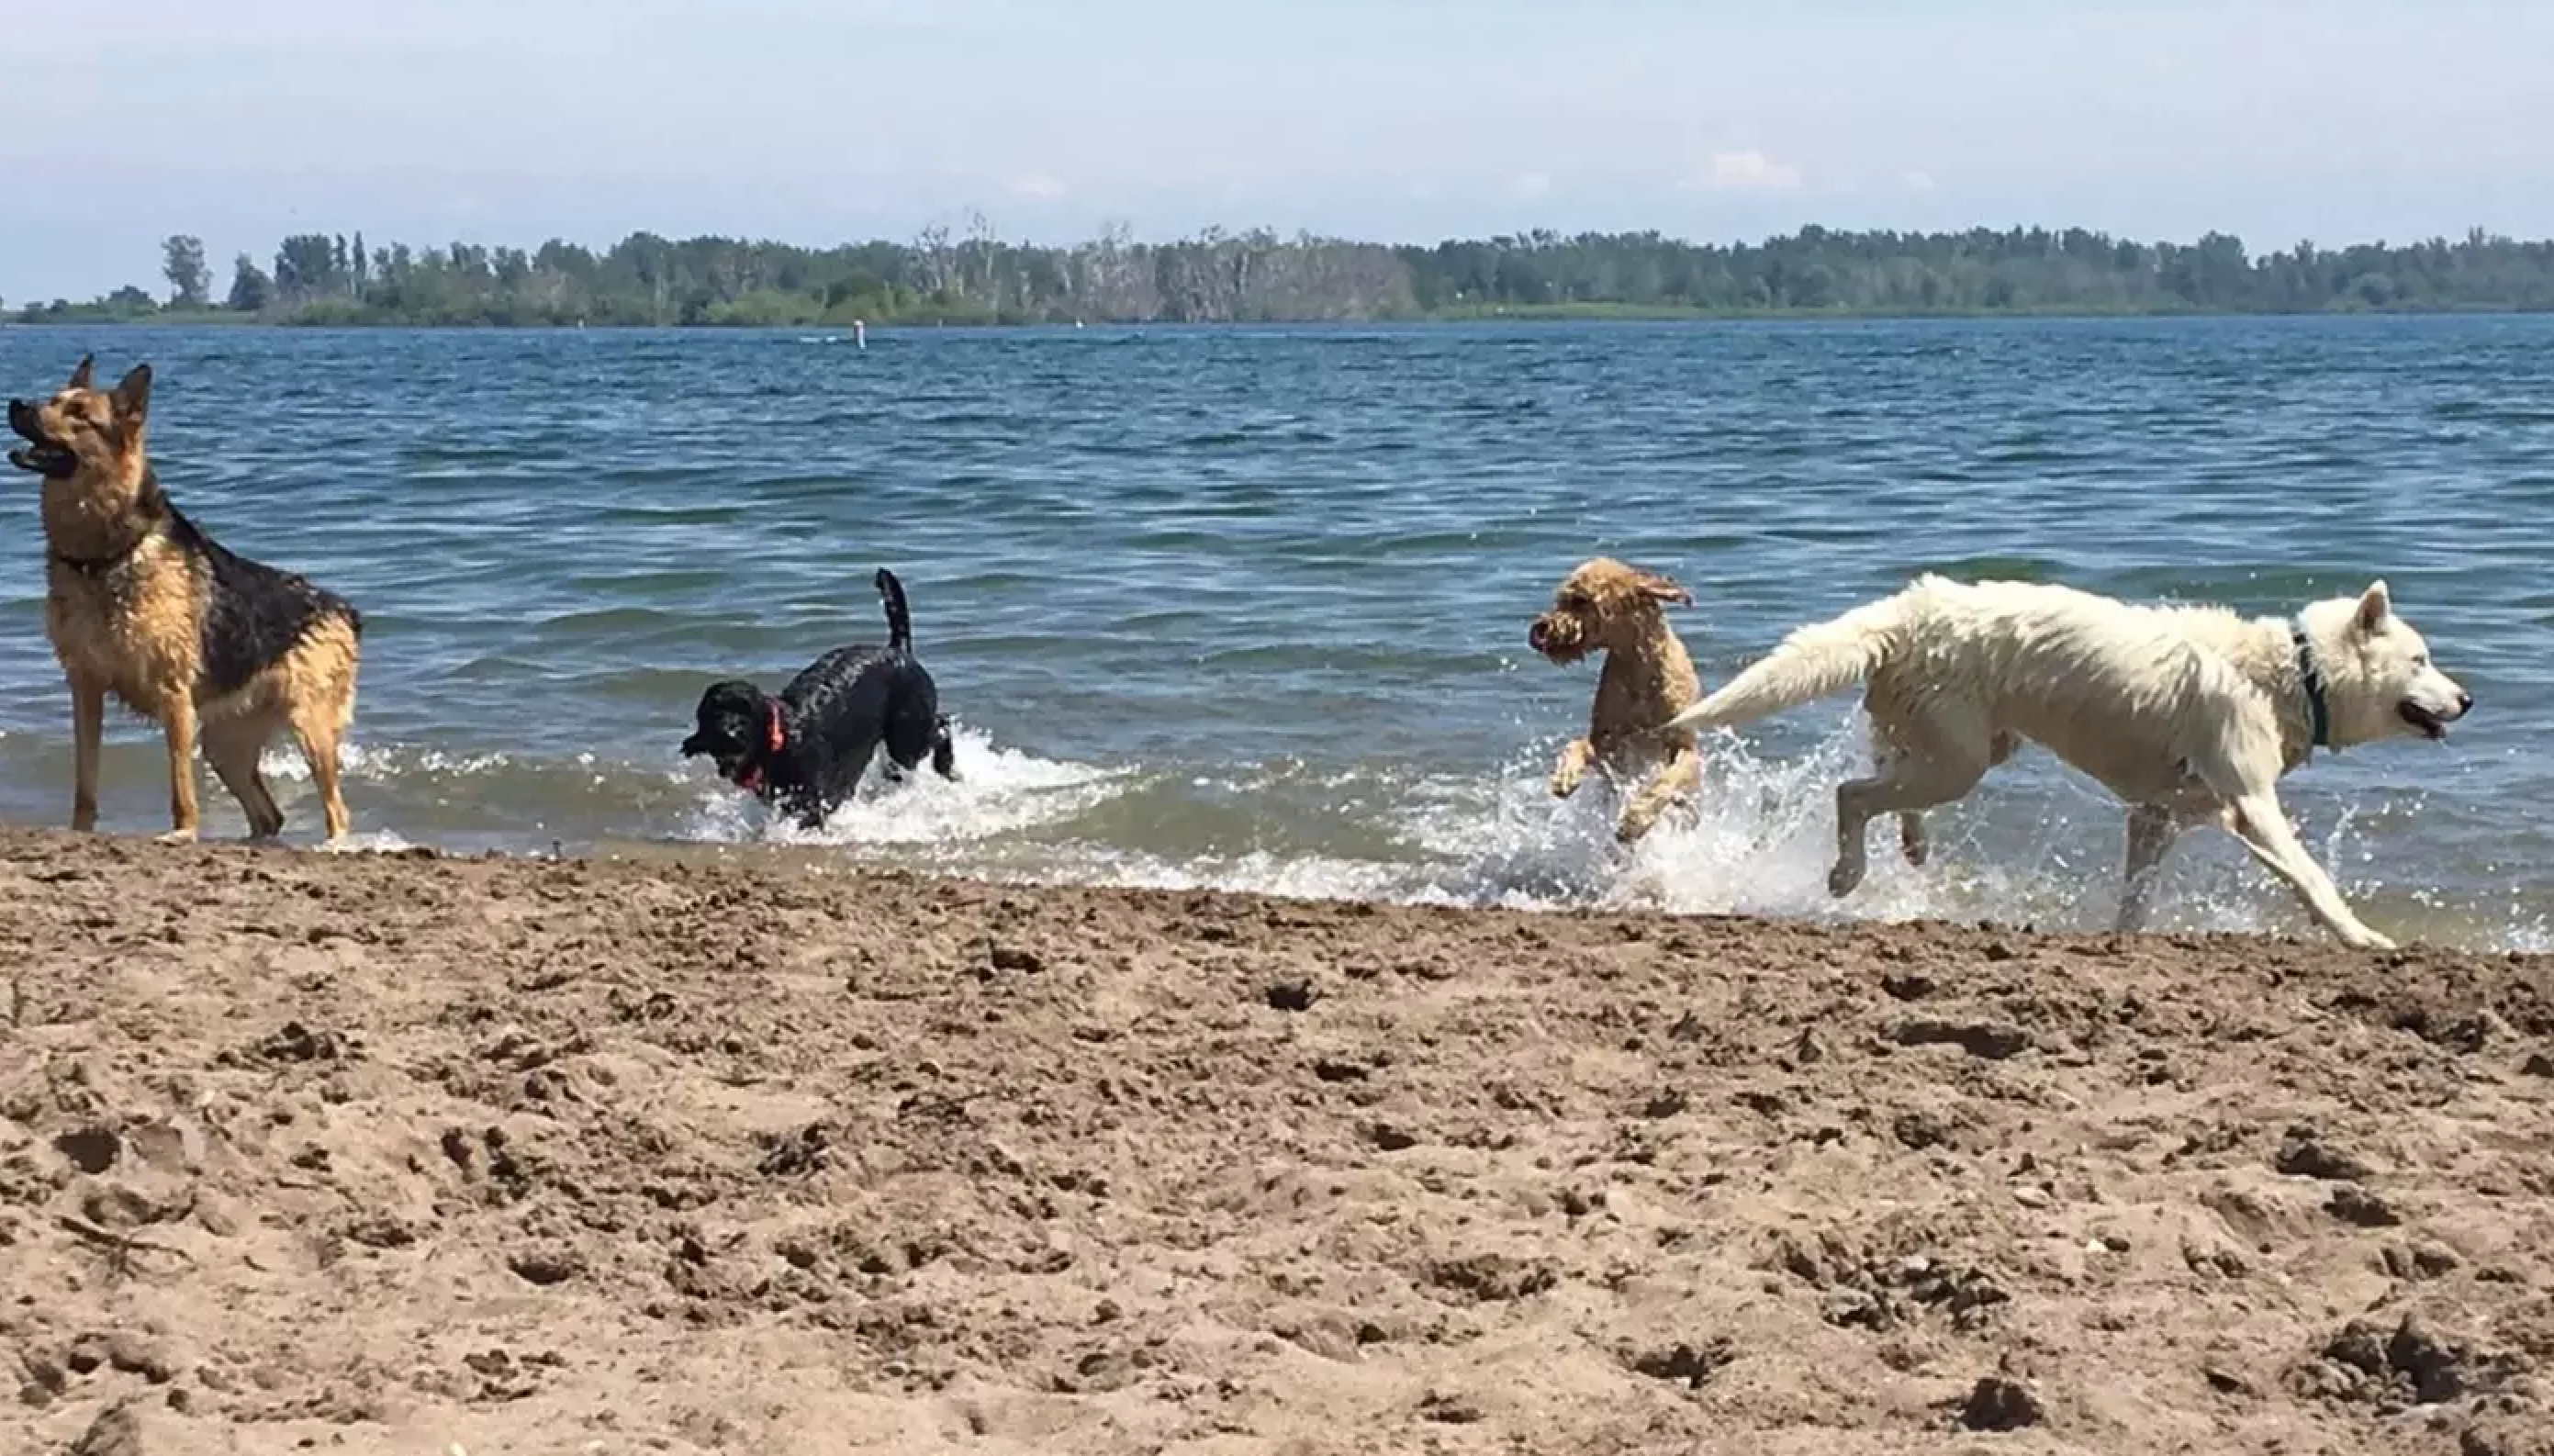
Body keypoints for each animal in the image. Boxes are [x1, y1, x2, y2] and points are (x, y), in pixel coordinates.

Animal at [7, 352, 364, 843]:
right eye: (53, 398)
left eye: (79, 413)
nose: (16, 404)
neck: (103, 554)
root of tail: (342, 607)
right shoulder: (85, 687)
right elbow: (86, 781)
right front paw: (80, 832)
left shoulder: (173, 695)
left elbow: (180, 784)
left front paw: (183, 833)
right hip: (225, 746)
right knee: (268, 815)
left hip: (310, 727)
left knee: (337, 810)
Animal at [679, 564, 960, 822]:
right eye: (714, 714)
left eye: (745, 712)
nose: (730, 734)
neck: (781, 739)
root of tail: (898, 650)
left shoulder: (811, 803)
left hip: (907, 735)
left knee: (941, 726)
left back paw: (947, 767)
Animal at [1522, 559, 1706, 847]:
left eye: (1580, 600)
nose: (1539, 629)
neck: (1638, 672)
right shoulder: (1608, 748)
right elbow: (1577, 745)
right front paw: (1566, 774)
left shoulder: (1684, 747)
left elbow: (1666, 779)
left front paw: (1635, 820)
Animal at [1654, 572, 2471, 945]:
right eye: (2422, 660)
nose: (2466, 701)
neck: (2293, 674)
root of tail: (1914, 606)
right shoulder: (2253, 807)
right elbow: (2312, 879)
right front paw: (2362, 937)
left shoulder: (2157, 818)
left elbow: (2136, 895)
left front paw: (2124, 937)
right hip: (1961, 760)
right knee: (1852, 794)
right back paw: (1848, 873)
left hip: (1962, 745)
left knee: (1888, 783)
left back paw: (1912, 845)